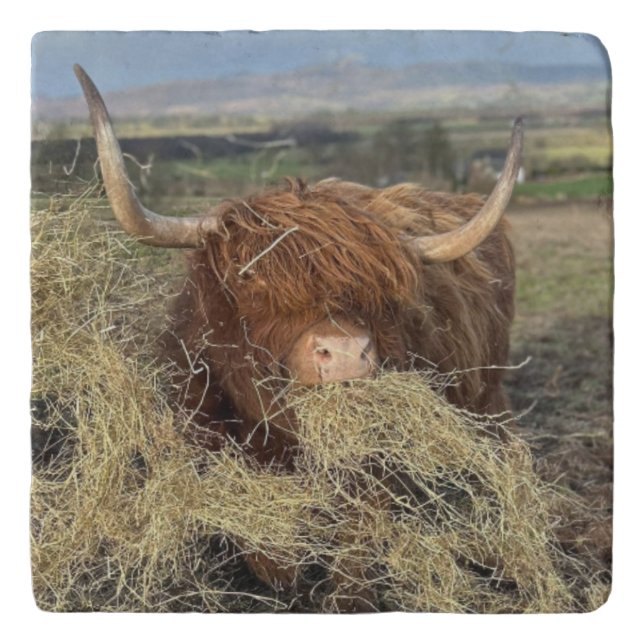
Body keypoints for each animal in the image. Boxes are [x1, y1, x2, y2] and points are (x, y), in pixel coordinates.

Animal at [73, 64, 522, 610]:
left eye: (382, 293)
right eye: (251, 281)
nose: (347, 353)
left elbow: (355, 548)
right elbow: (268, 555)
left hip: (489, 396)